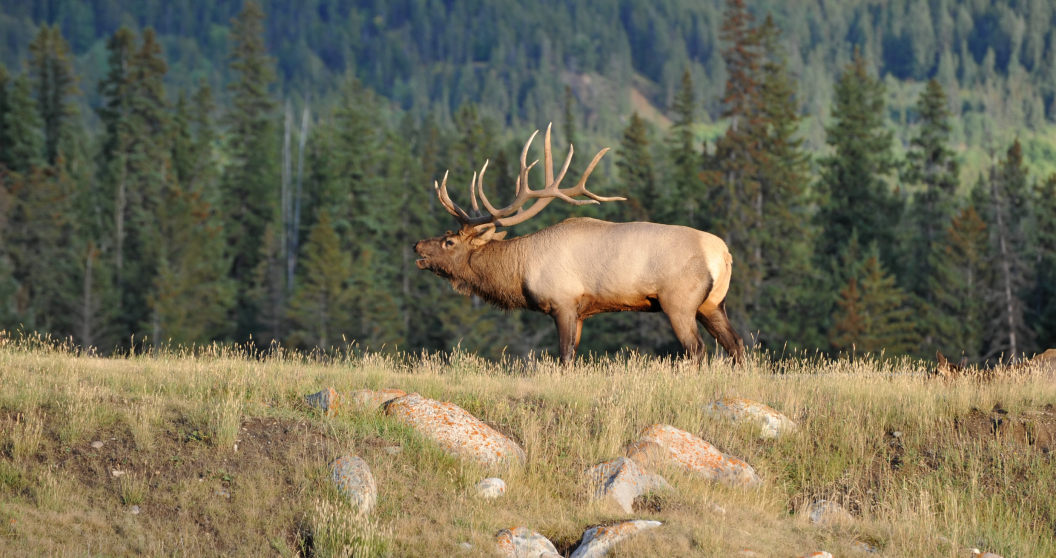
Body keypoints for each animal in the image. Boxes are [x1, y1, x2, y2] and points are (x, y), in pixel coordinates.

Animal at [413, 125, 745, 366]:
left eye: (449, 241)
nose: (417, 245)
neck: (520, 273)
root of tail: (724, 254)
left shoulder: (563, 302)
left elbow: (564, 357)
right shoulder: (582, 311)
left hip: (679, 301)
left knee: (697, 348)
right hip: (713, 303)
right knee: (737, 344)